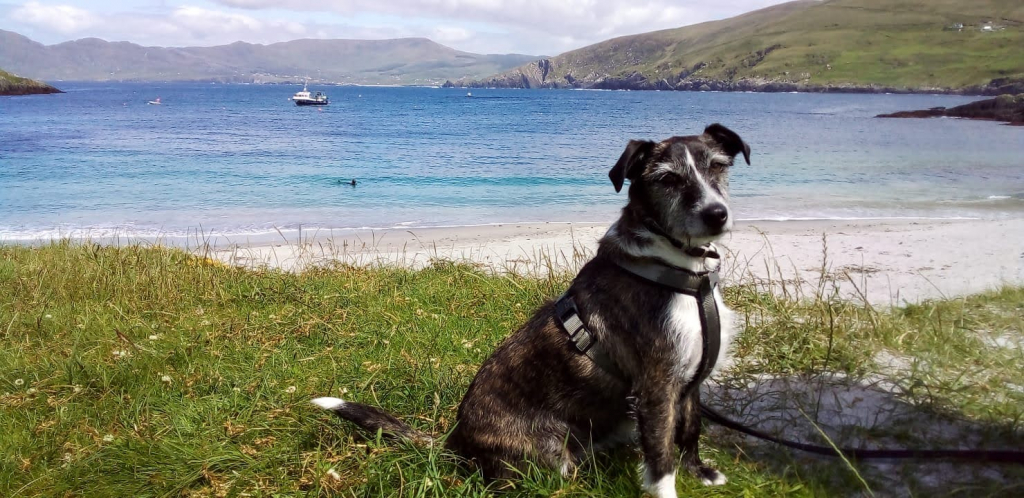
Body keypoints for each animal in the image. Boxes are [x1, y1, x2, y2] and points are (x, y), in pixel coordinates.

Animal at [311, 124, 753, 498]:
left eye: (717, 166)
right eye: (668, 179)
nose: (717, 215)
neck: (683, 273)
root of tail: (455, 440)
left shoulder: (689, 380)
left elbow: (690, 428)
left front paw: (701, 472)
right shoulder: (657, 386)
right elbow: (661, 458)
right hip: (550, 457)